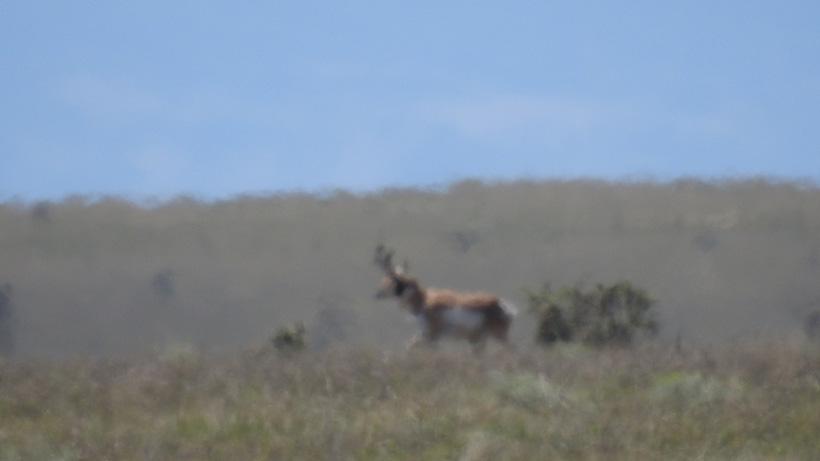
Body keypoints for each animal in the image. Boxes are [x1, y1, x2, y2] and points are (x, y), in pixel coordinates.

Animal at [373, 245, 516, 350]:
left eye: (390, 281)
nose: (377, 294)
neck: (423, 301)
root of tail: (501, 304)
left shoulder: (431, 335)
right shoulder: (425, 335)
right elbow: (410, 345)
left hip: (498, 335)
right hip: (480, 340)